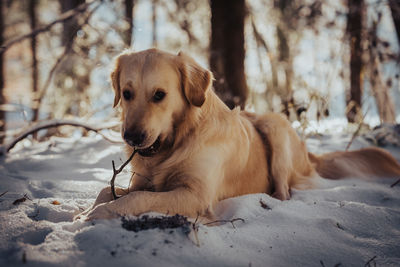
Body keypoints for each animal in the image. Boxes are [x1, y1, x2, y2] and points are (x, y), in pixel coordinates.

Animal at [77, 48, 400, 222]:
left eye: (159, 95)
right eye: (127, 93)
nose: (131, 137)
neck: (178, 141)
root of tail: (309, 155)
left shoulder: (196, 195)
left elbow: (137, 199)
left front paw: (95, 216)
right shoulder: (142, 181)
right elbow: (107, 190)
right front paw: (85, 212)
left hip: (275, 126)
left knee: (285, 190)